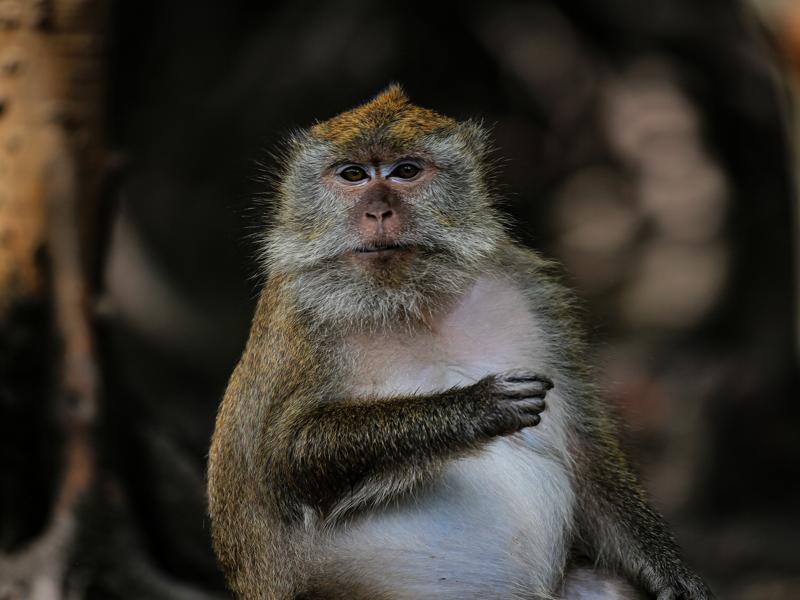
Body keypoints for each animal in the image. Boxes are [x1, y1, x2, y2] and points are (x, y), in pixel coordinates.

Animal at [207, 85, 713, 600]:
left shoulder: (527, 287)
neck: (412, 299)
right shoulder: (298, 320)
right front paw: (473, 407)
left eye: (405, 171)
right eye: (353, 174)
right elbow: (285, 458)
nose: (378, 210)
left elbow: (585, 448)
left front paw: (673, 576)